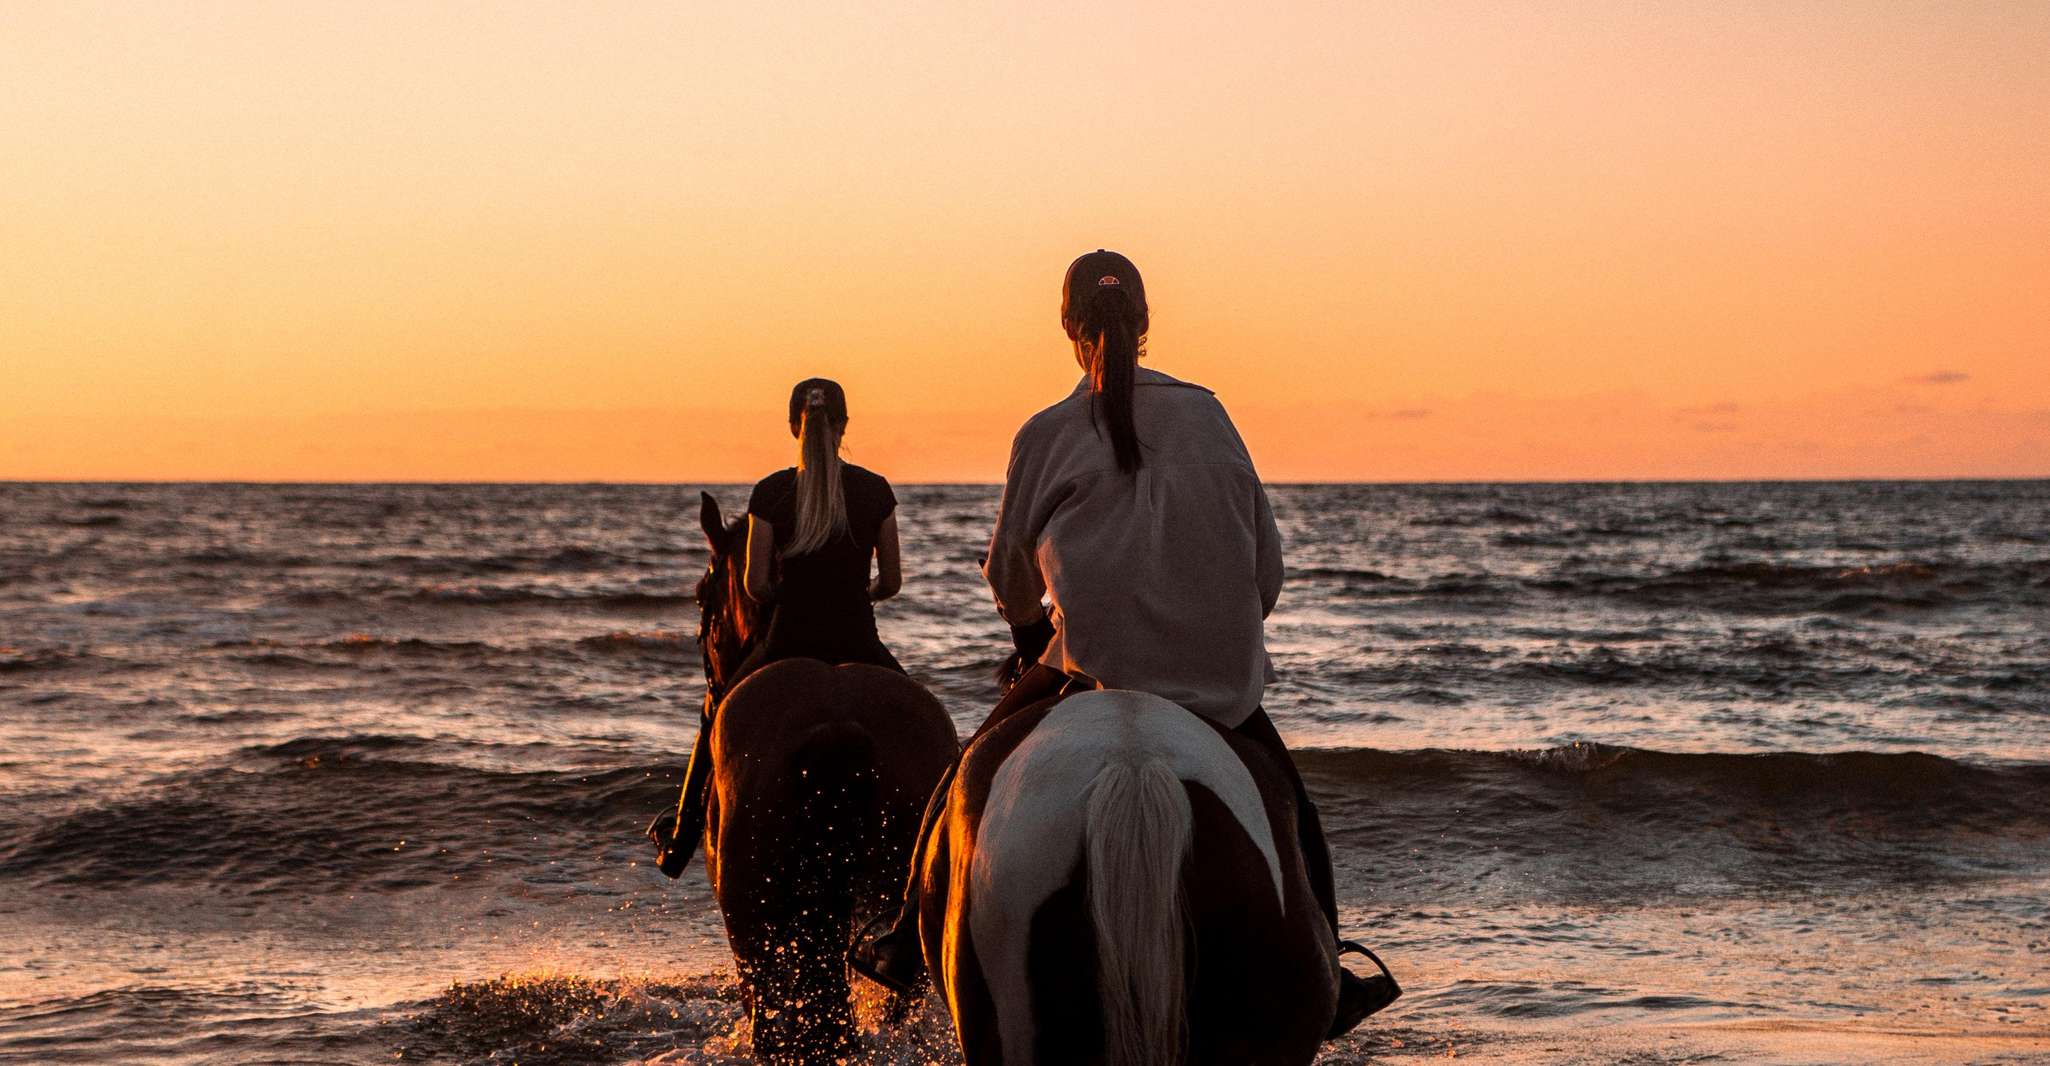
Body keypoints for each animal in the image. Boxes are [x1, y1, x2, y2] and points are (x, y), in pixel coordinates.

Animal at [680, 496, 951, 1057]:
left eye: (700, 597)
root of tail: (838, 722)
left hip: (750, 919)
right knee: (892, 1007)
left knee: (771, 1015)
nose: (709, 693)